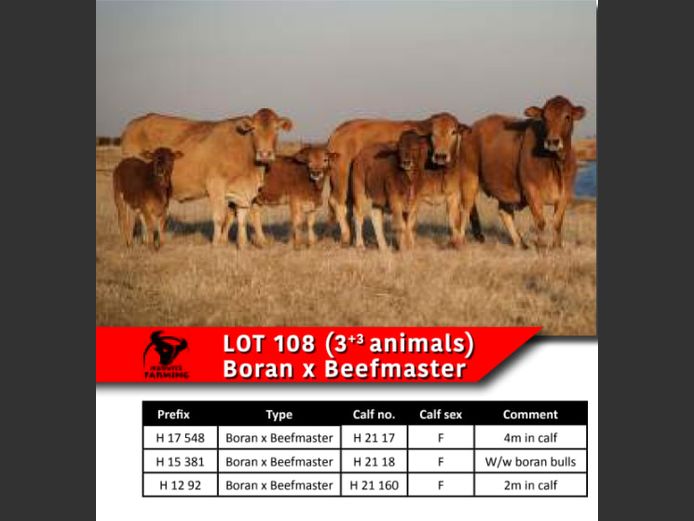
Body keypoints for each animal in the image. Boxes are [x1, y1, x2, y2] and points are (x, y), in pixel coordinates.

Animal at [120, 108, 293, 248]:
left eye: (276, 129)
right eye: (254, 129)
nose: (265, 154)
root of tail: (133, 124)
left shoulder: (243, 192)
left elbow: (243, 218)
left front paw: (242, 245)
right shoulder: (215, 185)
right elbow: (219, 217)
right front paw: (216, 244)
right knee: (131, 213)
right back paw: (135, 240)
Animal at [326, 112, 468, 245]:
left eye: (453, 132)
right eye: (433, 133)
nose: (441, 156)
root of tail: (339, 130)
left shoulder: (453, 195)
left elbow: (454, 221)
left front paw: (456, 243)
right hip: (343, 183)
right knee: (340, 205)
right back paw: (347, 238)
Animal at [462, 96, 586, 248]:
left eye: (567, 116)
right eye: (545, 117)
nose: (552, 141)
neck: (555, 164)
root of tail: (472, 128)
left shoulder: (565, 194)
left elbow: (557, 222)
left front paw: (557, 247)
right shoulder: (531, 189)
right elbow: (540, 221)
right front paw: (540, 246)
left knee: (504, 212)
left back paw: (520, 243)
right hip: (469, 177)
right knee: (466, 208)